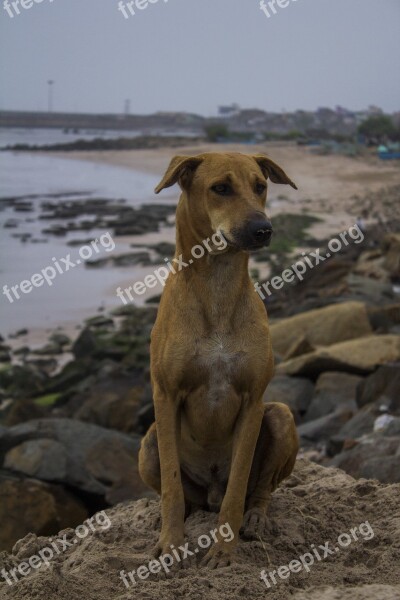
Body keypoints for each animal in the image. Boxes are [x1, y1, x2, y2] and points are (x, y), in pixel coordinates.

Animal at [139, 152, 298, 568]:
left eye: (260, 186)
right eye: (220, 188)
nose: (263, 230)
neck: (218, 285)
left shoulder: (253, 401)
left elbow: (239, 483)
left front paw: (224, 549)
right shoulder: (165, 395)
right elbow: (171, 488)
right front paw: (170, 544)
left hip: (280, 416)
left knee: (259, 490)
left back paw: (256, 517)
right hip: (148, 443)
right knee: (185, 497)